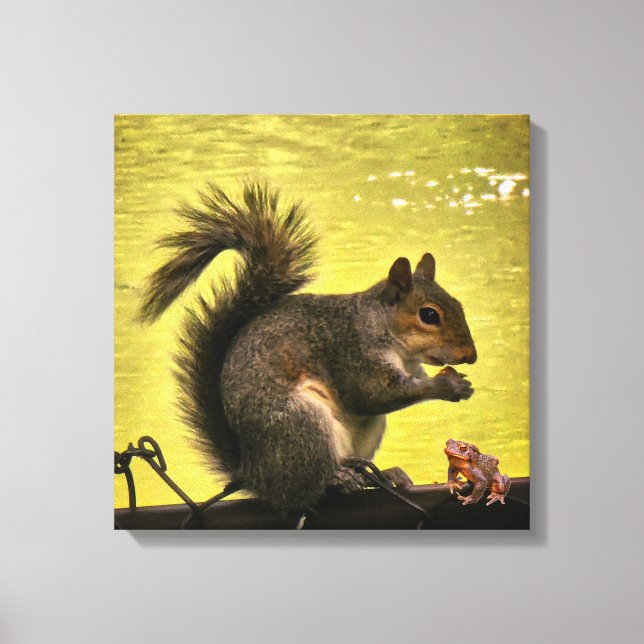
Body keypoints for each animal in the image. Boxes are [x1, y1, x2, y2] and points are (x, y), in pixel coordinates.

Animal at [140, 182, 477, 514]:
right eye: (429, 315)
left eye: (459, 304)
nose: (470, 356)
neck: (387, 333)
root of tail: (255, 475)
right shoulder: (352, 351)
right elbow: (372, 394)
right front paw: (448, 385)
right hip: (301, 423)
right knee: (303, 492)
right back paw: (337, 479)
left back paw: (381, 474)